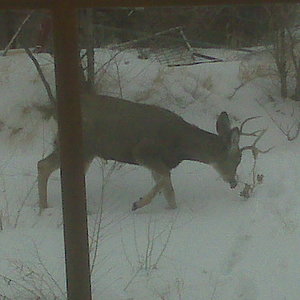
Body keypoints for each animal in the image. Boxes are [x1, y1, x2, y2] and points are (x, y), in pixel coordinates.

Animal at [37, 93, 264, 211]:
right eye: (237, 158)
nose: (233, 182)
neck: (180, 145)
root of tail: (53, 112)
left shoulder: (156, 161)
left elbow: (168, 188)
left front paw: (170, 208)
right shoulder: (143, 151)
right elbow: (165, 178)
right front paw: (138, 203)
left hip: (85, 152)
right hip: (84, 147)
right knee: (42, 165)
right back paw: (44, 207)